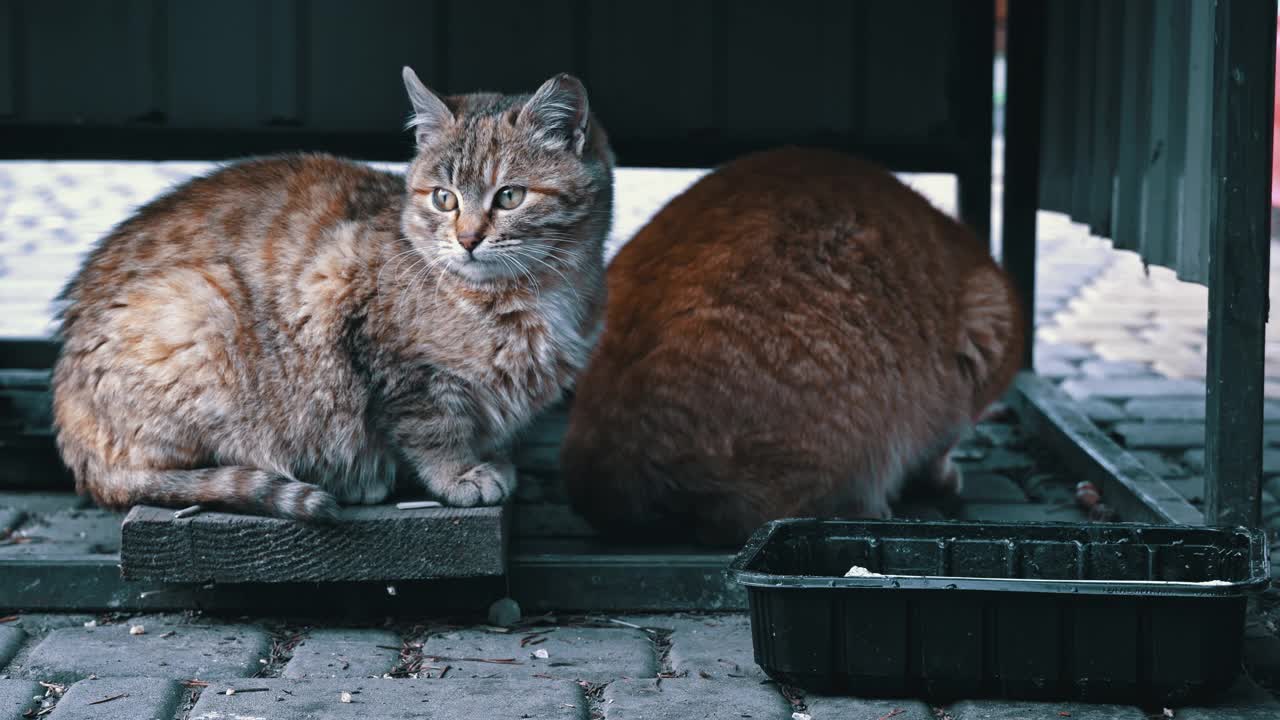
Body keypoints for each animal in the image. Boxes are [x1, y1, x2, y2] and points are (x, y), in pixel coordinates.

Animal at [49, 68, 609, 515]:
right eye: (444, 198)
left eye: (510, 196)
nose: (468, 239)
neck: (537, 293)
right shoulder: (388, 351)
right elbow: (433, 428)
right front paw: (459, 474)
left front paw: (495, 460)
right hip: (199, 310)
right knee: (157, 476)